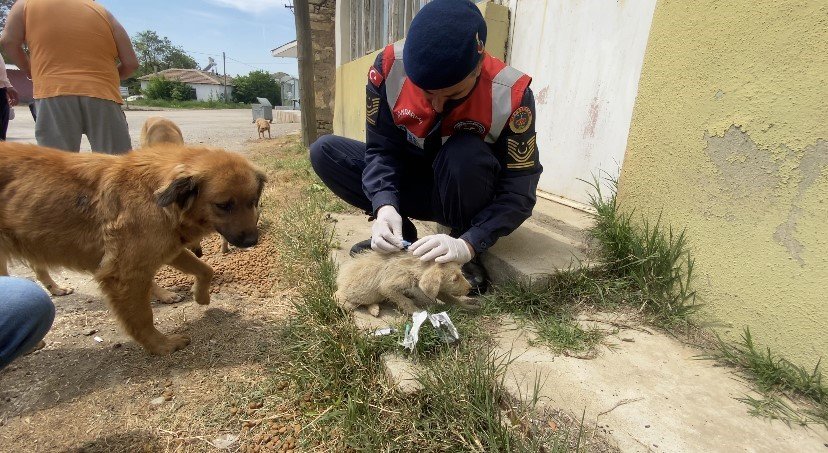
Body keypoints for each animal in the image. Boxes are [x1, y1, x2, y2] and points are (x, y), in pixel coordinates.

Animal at [0, 141, 266, 354]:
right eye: (223, 205)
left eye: (253, 201)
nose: (252, 241)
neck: (153, 195)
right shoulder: (123, 272)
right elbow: (142, 317)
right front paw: (161, 345)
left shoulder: (166, 247)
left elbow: (205, 269)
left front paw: (201, 297)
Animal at [334, 251, 472, 314]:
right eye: (455, 279)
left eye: (461, 274)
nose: (470, 288)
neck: (415, 266)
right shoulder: (387, 287)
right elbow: (405, 302)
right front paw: (418, 312)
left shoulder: (437, 289)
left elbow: (451, 298)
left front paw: (469, 307)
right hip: (347, 298)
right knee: (343, 300)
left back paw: (375, 308)